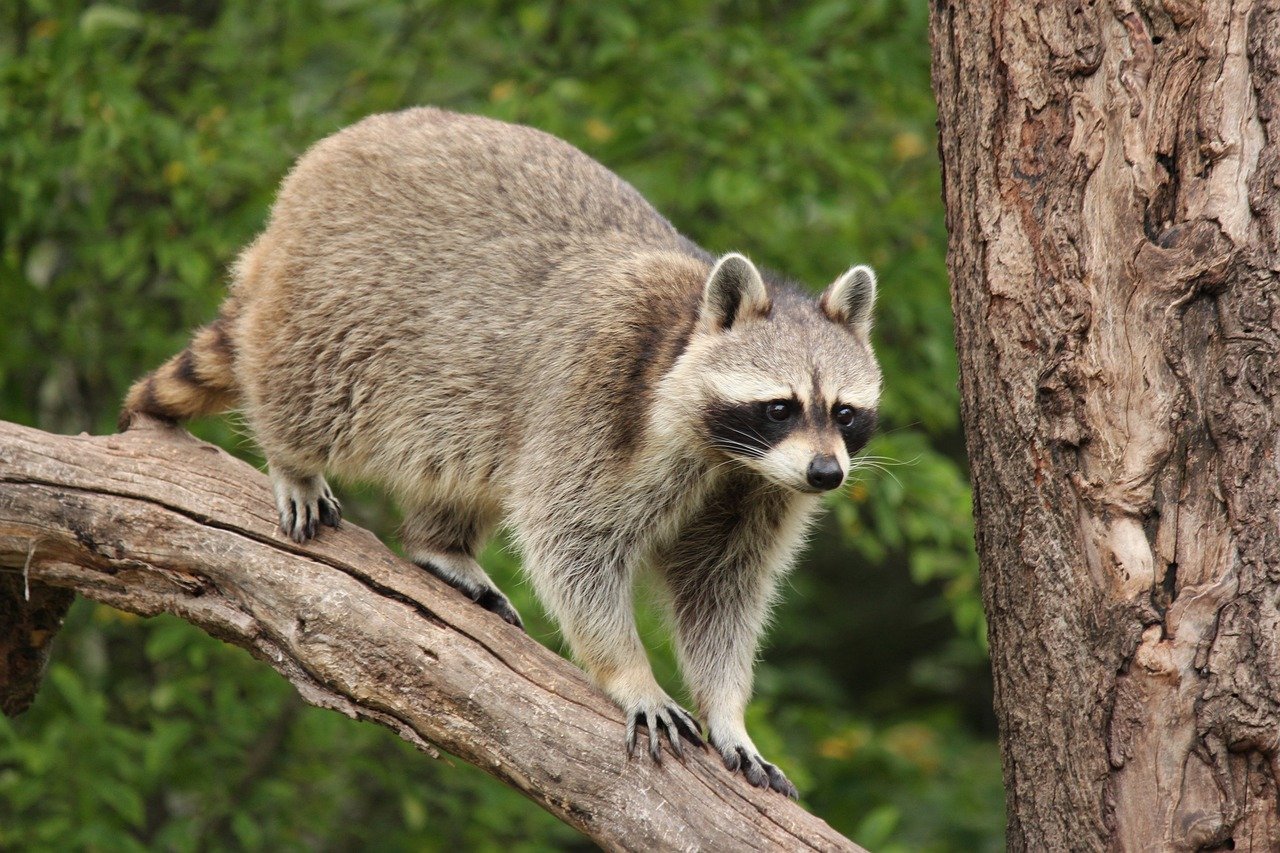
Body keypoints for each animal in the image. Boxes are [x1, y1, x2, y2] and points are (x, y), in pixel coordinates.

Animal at [120, 108, 880, 799]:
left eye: (844, 413)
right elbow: (573, 542)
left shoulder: (759, 489)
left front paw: (728, 712)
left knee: (466, 460)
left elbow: (721, 588)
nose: (827, 474)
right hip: (341, 302)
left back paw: (441, 541)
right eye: (780, 406)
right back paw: (293, 457)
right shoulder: (594, 399)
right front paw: (629, 672)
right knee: (310, 392)